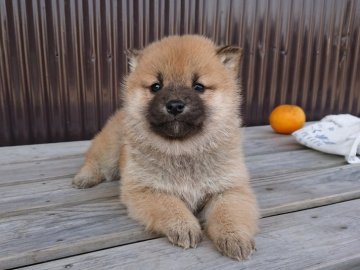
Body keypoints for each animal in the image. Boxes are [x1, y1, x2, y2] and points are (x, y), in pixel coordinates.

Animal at [73, 34, 258, 260]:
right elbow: (170, 206)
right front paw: (185, 226)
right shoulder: (144, 189)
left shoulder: (230, 189)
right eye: (156, 86)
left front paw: (235, 237)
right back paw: (84, 178)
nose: (175, 106)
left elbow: (229, 213)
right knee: (93, 160)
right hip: (110, 152)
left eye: (198, 87)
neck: (183, 149)